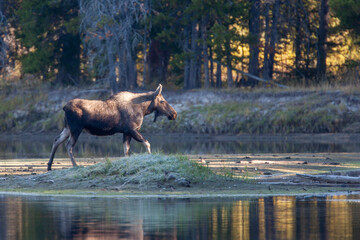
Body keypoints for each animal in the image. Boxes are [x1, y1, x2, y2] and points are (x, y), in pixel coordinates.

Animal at [47, 84, 177, 171]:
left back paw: (49, 166)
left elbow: (126, 149)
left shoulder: (126, 132)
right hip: (76, 129)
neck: (143, 110)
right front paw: (151, 158)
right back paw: (75, 165)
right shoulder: (132, 129)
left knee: (56, 140)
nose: (174, 114)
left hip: (67, 128)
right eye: (162, 100)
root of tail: (64, 107)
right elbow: (147, 143)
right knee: (68, 145)